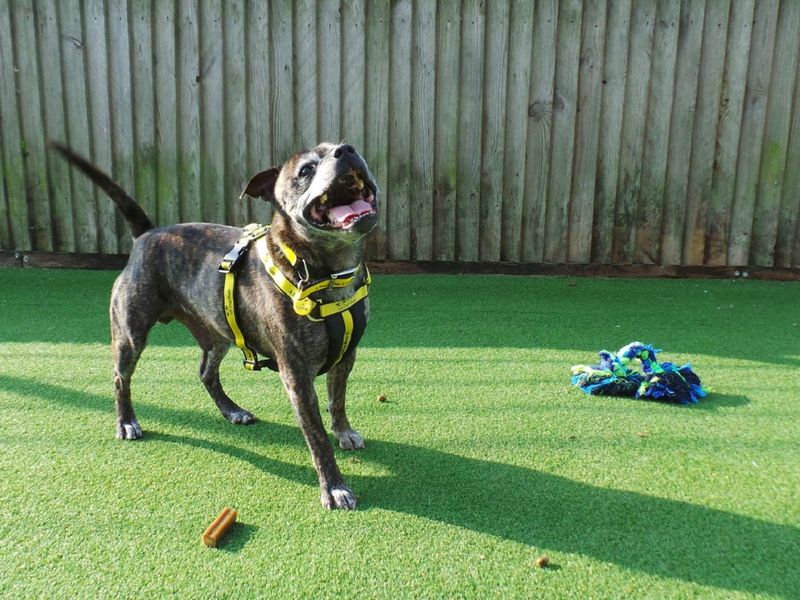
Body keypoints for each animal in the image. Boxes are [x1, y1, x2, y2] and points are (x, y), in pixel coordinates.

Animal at [51, 142, 380, 510]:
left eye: (341, 146)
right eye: (307, 169)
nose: (346, 150)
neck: (330, 272)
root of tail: (148, 233)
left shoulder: (346, 357)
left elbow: (337, 400)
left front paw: (344, 431)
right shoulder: (296, 376)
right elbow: (316, 436)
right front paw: (334, 487)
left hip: (217, 333)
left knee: (206, 373)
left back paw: (232, 410)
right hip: (131, 334)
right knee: (121, 378)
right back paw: (126, 421)